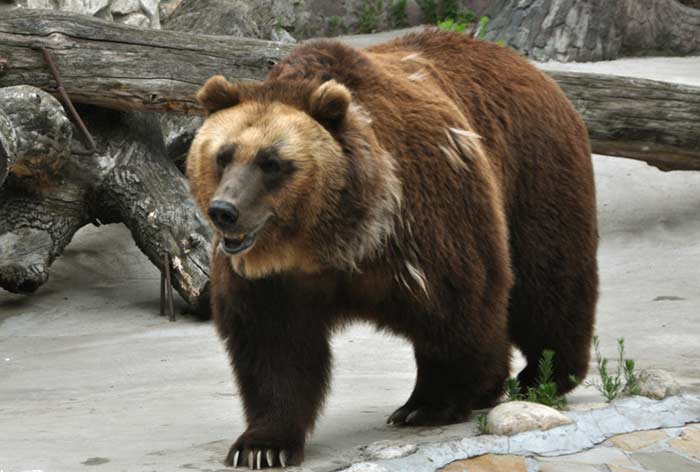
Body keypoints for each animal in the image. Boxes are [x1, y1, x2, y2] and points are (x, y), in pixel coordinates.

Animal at [186, 29, 596, 468]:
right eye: (223, 155)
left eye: (272, 162)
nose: (224, 211)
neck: (330, 239)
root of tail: (532, 70)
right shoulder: (270, 280)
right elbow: (274, 349)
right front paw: (262, 446)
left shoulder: (425, 221)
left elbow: (457, 309)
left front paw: (426, 405)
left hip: (534, 173)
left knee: (547, 281)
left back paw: (544, 374)